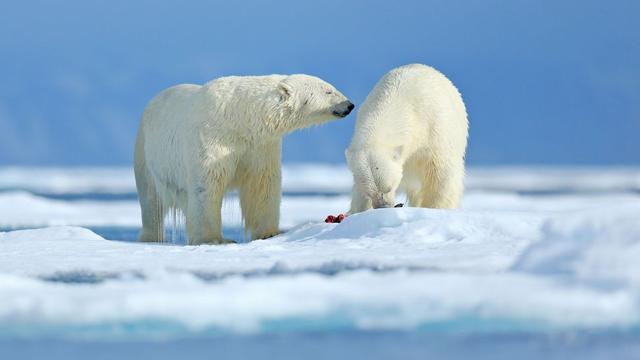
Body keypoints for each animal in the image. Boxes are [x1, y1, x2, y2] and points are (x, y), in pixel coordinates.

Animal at [136, 75, 356, 245]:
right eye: (328, 91)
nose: (350, 105)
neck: (240, 118)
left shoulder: (259, 145)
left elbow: (261, 184)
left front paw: (270, 233)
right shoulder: (212, 138)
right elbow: (206, 184)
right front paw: (213, 239)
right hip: (147, 153)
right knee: (151, 200)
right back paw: (152, 237)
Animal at [348, 64, 468, 214]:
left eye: (389, 187)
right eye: (370, 193)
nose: (384, 207)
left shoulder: (434, 131)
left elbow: (441, 176)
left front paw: (434, 209)